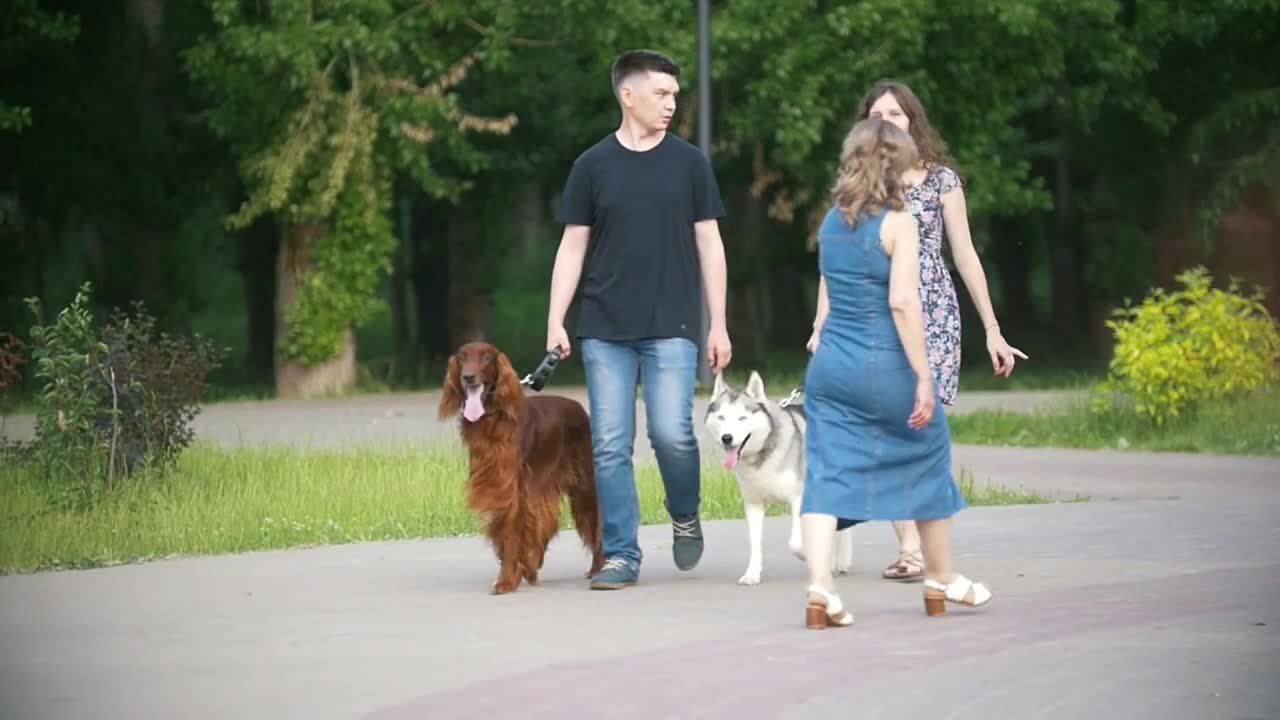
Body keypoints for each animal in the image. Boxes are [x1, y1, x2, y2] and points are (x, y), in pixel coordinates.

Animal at [437, 338, 601, 591]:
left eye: (486, 357)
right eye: (462, 357)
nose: (468, 377)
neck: (492, 420)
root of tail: (580, 409)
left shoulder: (514, 490)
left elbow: (512, 533)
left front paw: (506, 580)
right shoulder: (497, 486)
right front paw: (515, 572)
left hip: (585, 486)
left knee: (596, 524)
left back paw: (599, 568)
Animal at [706, 368, 855, 584]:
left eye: (742, 418)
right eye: (721, 417)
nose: (727, 438)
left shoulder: (798, 499)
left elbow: (795, 542)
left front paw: (806, 554)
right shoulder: (753, 504)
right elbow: (755, 544)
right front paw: (752, 573)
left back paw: (841, 560)